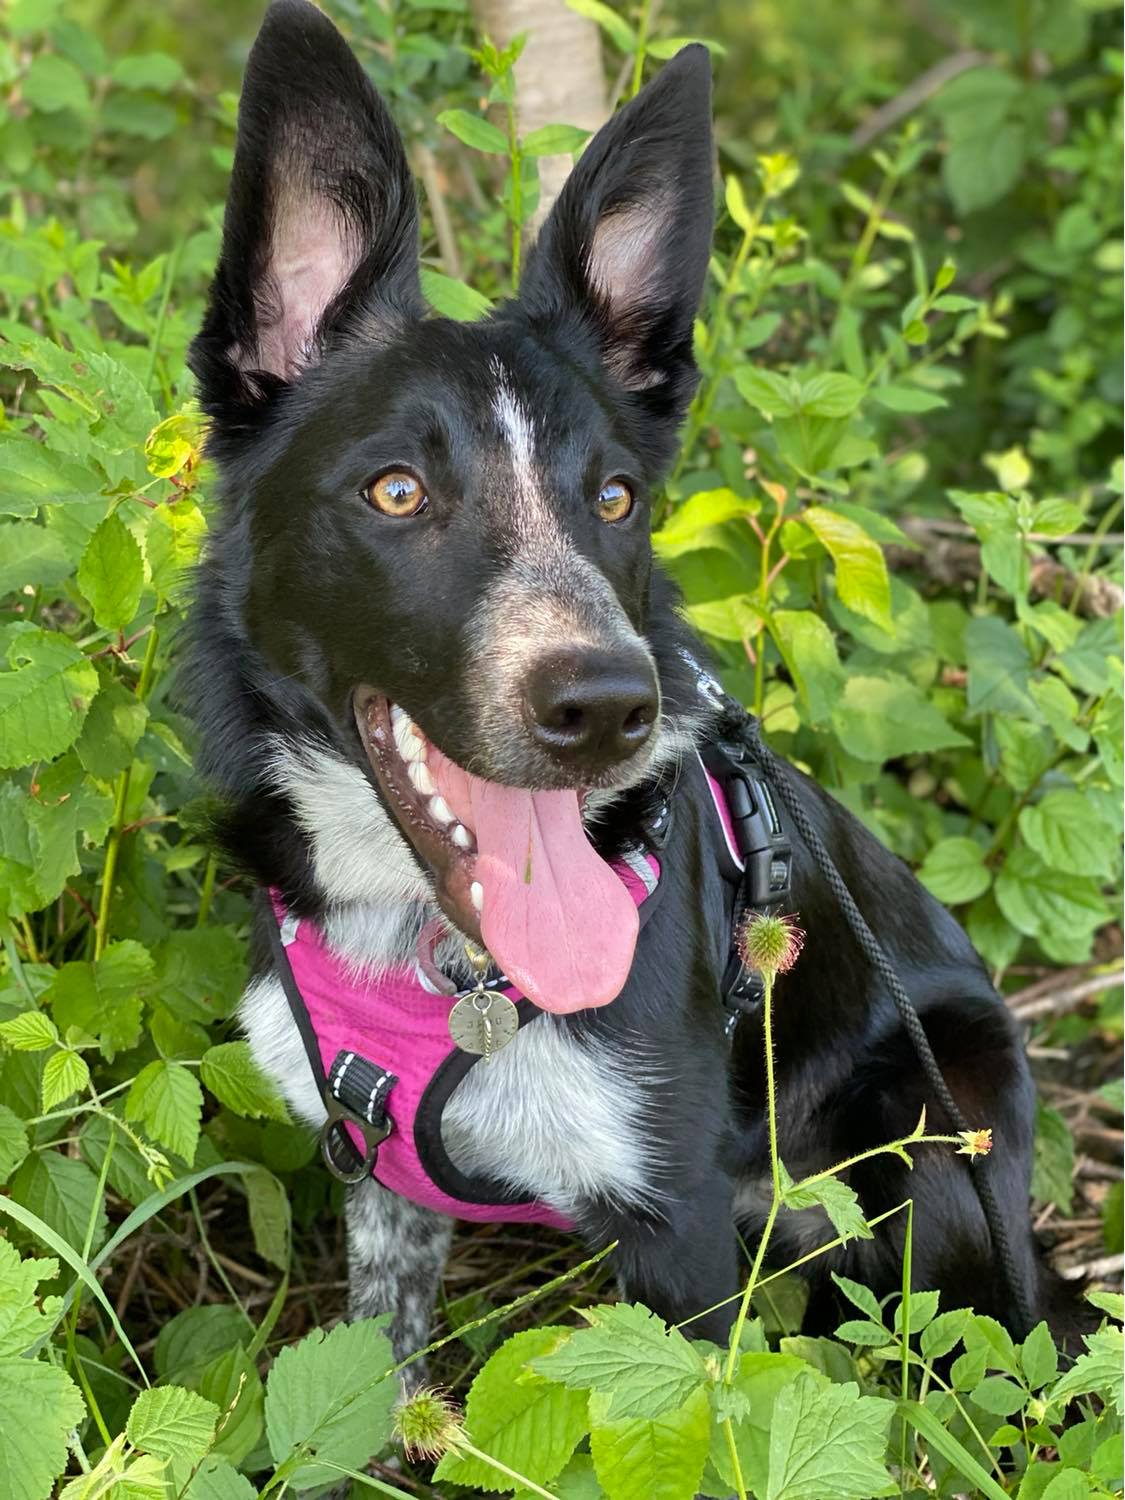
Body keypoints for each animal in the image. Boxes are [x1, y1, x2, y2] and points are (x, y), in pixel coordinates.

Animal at [189, 0, 1068, 1362]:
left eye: (615, 498)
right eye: (397, 490)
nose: (607, 705)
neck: (436, 951)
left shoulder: (682, 1237)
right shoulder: (378, 1180)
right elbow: (376, 1373)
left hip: (935, 1140)